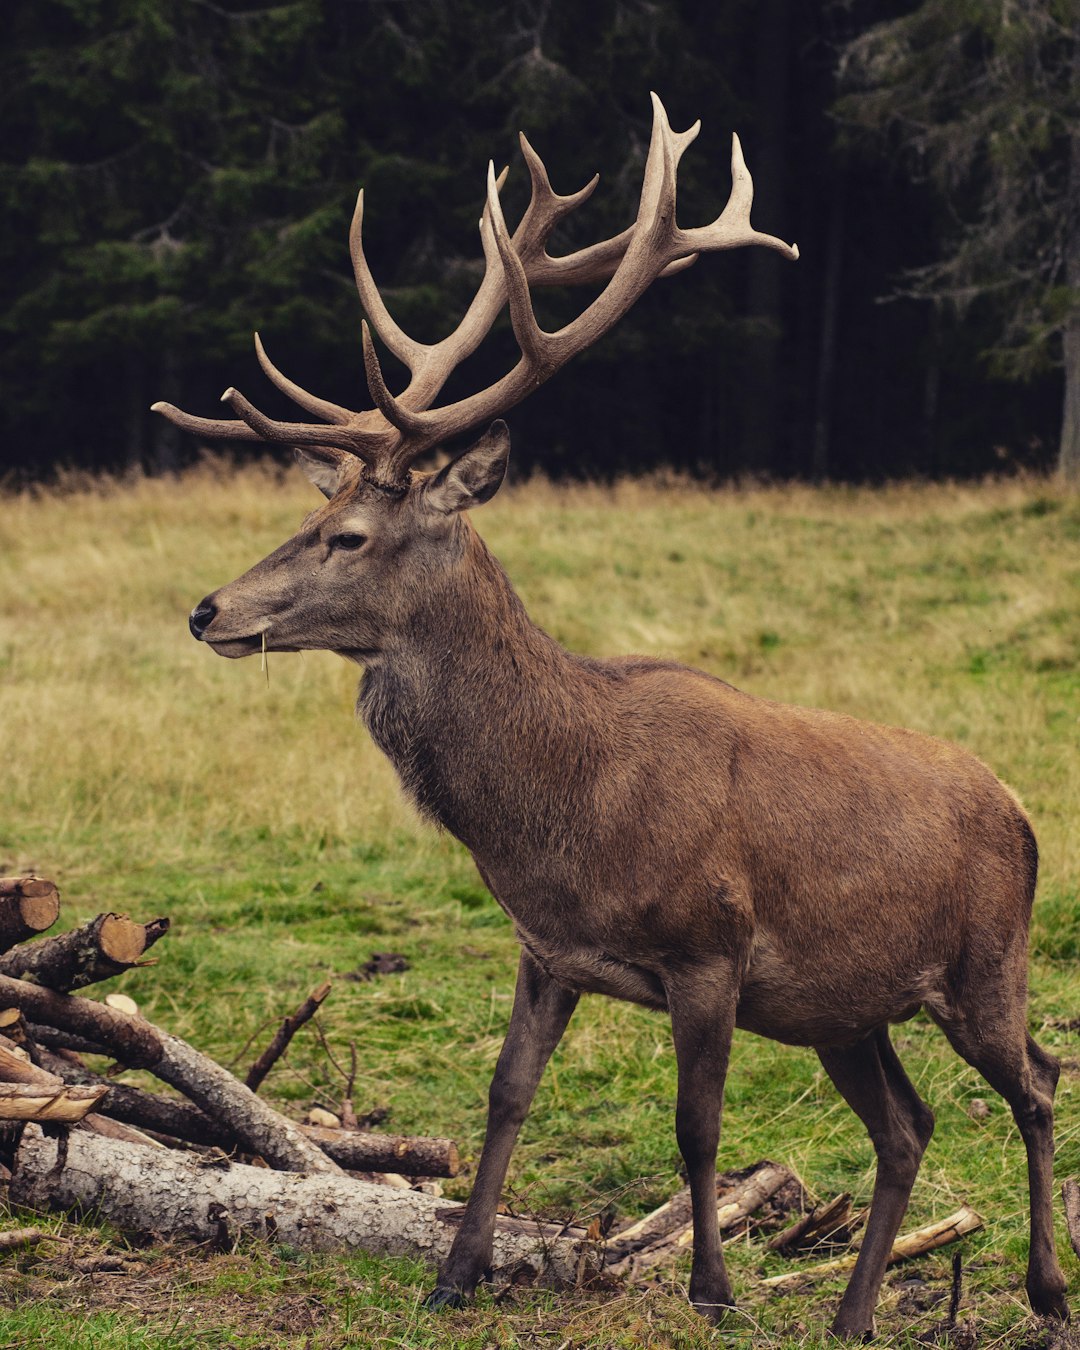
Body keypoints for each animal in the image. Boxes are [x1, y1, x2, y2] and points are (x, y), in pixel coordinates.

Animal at [153, 97, 1069, 1339]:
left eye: (349, 536)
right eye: (315, 514)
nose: (208, 609)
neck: (563, 805)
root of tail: (1021, 811)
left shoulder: (710, 948)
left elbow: (698, 1128)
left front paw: (712, 1291)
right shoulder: (546, 949)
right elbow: (505, 1097)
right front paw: (454, 1273)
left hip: (984, 963)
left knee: (1039, 1081)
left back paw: (1046, 1289)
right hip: (847, 1010)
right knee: (909, 1123)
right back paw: (852, 1313)